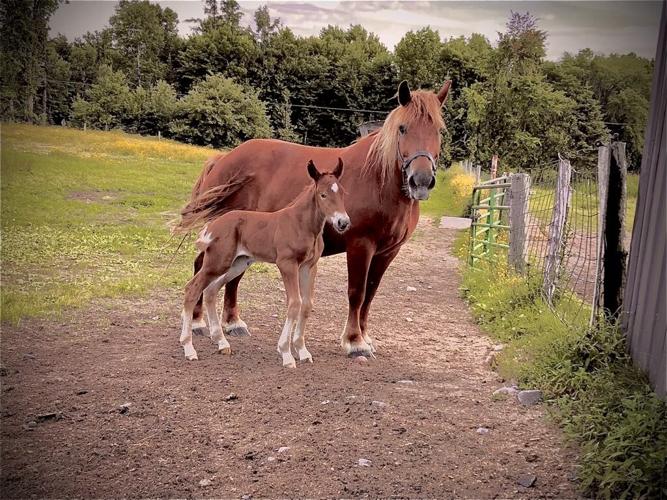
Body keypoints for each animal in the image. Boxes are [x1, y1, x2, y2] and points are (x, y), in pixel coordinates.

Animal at [179, 159, 349, 367]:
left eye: (342, 193)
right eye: (323, 195)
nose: (343, 222)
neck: (302, 224)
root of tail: (213, 225)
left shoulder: (309, 267)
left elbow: (307, 305)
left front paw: (302, 351)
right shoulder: (287, 264)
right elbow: (294, 303)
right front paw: (286, 353)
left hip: (236, 264)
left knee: (211, 290)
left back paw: (222, 343)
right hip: (217, 262)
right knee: (192, 289)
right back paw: (189, 348)